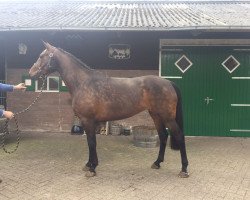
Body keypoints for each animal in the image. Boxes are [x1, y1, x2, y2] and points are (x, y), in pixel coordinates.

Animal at [28, 42, 189, 178]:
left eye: (41, 56)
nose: (31, 72)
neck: (83, 83)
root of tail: (168, 82)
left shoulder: (88, 120)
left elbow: (91, 142)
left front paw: (92, 168)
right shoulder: (89, 121)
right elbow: (90, 142)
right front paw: (89, 165)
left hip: (167, 117)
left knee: (179, 136)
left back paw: (184, 169)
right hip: (156, 115)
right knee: (163, 136)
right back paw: (157, 163)